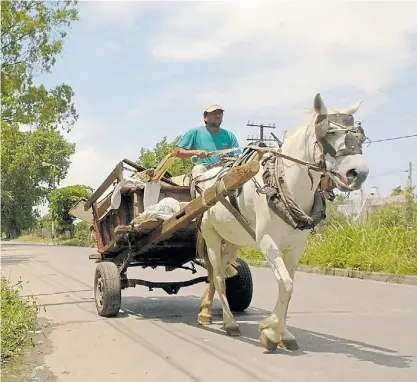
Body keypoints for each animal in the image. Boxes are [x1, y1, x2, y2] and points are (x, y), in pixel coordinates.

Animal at [191, 94, 368, 350]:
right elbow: (286, 284)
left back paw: (207, 312)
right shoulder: (267, 241)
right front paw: (270, 329)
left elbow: (289, 286)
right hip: (211, 234)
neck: (282, 183)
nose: (359, 173)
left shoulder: (296, 247)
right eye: (329, 132)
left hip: (232, 239)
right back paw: (230, 323)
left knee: (221, 270)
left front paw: (283, 334)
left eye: (360, 135)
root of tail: (203, 176)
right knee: (218, 276)